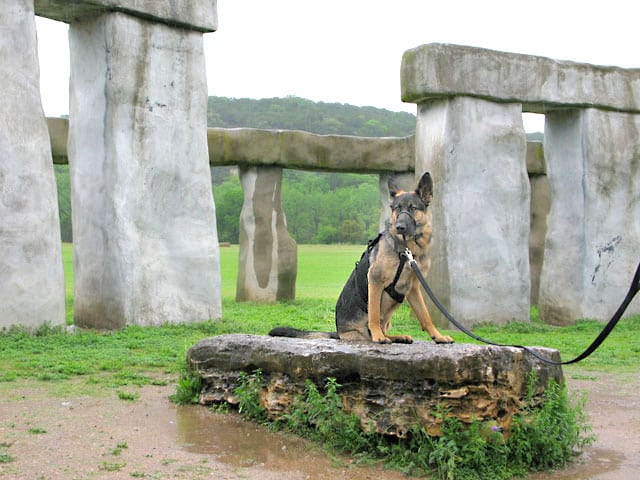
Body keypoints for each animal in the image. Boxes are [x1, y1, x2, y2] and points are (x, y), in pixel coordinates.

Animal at [270, 172, 456, 344]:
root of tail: (339, 333)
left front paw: (438, 336)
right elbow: (373, 313)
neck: (405, 251)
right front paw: (378, 337)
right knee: (374, 327)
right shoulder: (375, 280)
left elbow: (425, 316)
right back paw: (381, 336)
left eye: (412, 208)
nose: (399, 227)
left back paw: (397, 337)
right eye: (396, 208)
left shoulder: (413, 288)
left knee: (385, 327)